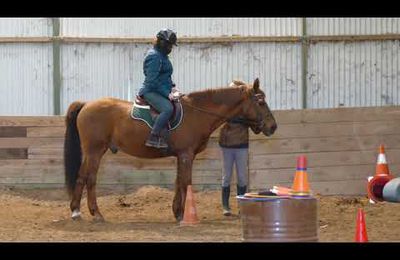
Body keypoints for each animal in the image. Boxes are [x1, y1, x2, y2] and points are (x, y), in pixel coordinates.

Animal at [64, 77, 276, 221]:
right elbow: (185, 182)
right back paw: (92, 213)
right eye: (260, 102)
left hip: (93, 152)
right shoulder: (186, 155)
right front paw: (184, 215)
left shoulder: (182, 156)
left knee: (83, 177)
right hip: (94, 151)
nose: (272, 126)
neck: (196, 113)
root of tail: (86, 104)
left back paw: (79, 211)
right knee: (89, 178)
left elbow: (178, 181)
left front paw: (177, 212)